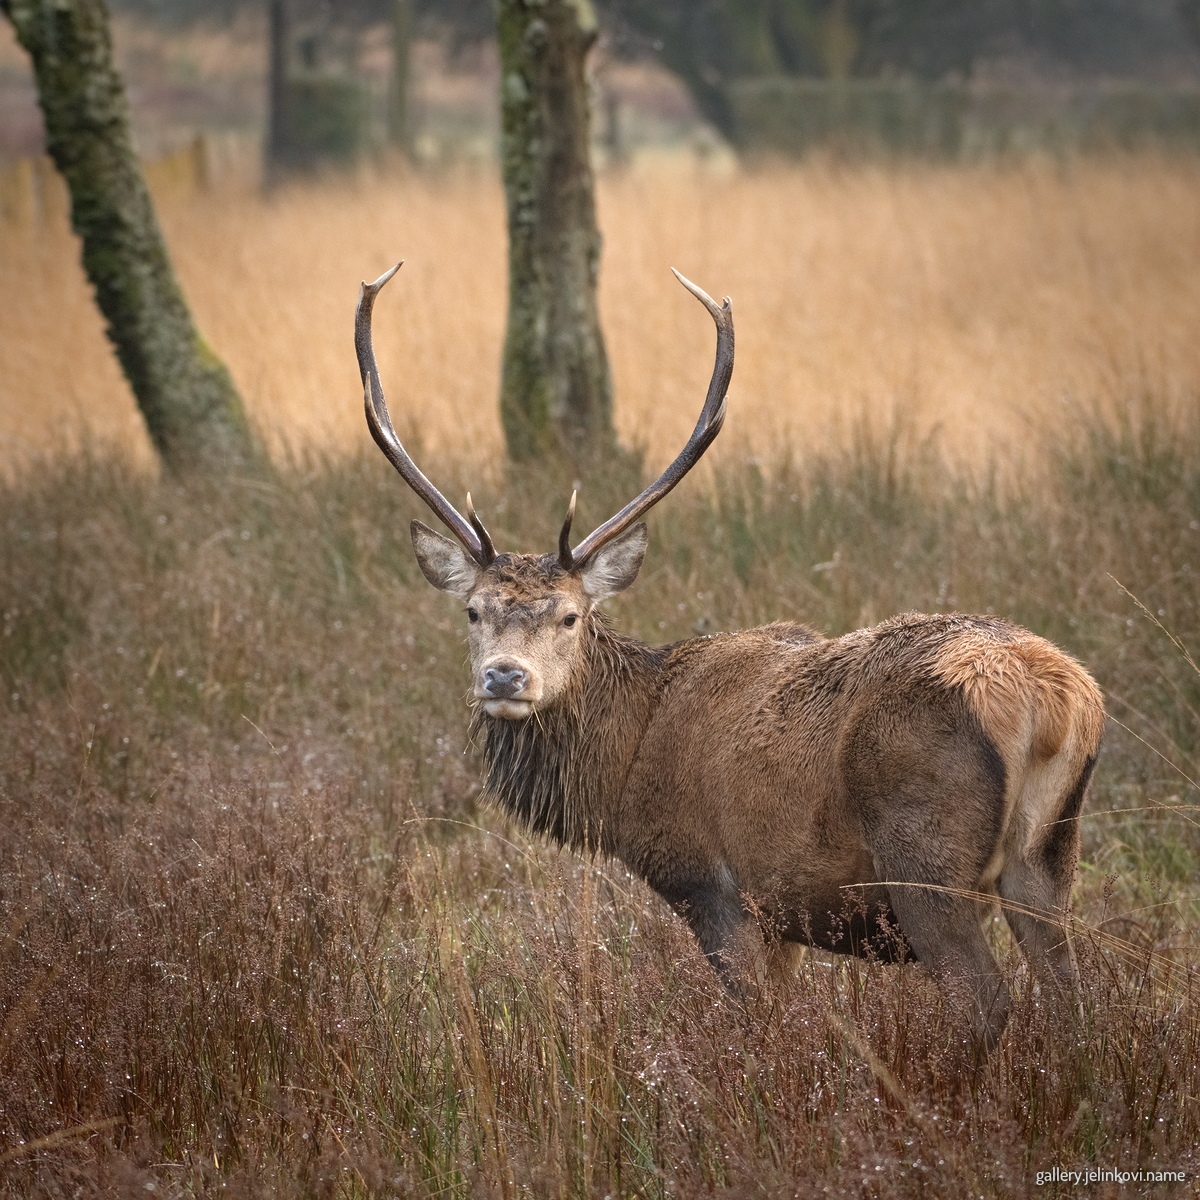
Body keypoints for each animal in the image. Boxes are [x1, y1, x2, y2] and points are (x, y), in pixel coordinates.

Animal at [355, 262, 1104, 1055]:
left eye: (570, 616)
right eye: (474, 611)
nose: (504, 675)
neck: (626, 767)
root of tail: (1053, 699)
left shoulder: (714, 885)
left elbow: (757, 1028)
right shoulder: (783, 912)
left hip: (925, 857)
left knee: (985, 1001)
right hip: (1049, 856)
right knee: (1071, 998)